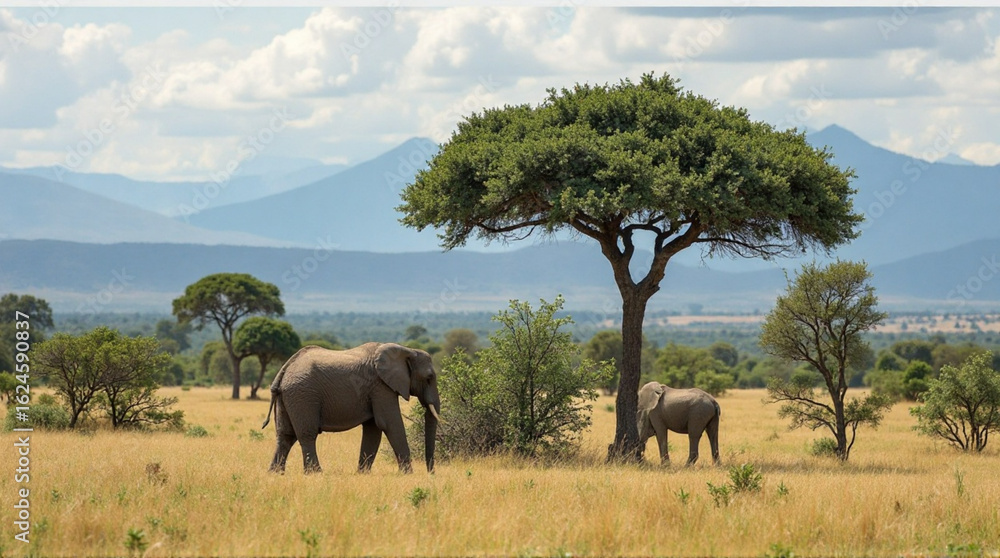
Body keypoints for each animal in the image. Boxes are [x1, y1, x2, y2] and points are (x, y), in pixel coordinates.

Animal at [261, 342, 440, 474]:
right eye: (429, 378)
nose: (430, 473)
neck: (407, 349)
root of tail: (284, 369)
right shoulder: (381, 386)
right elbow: (389, 423)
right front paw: (408, 474)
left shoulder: (374, 388)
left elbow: (373, 429)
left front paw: (363, 474)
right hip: (303, 395)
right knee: (307, 434)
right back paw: (315, 473)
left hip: (289, 396)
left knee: (285, 435)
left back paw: (275, 474)